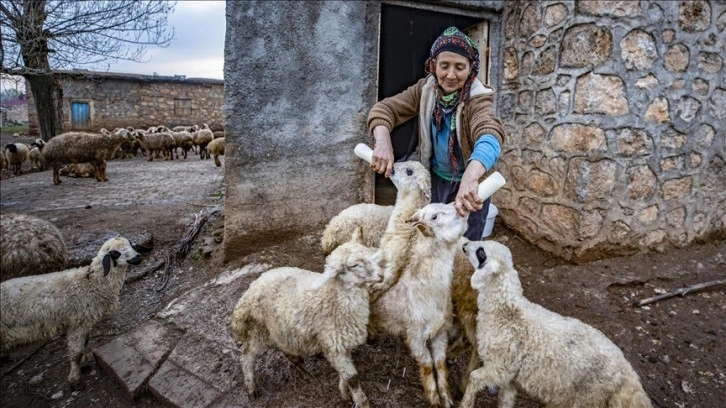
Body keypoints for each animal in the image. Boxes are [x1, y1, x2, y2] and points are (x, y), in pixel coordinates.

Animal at [0, 236, 151, 388]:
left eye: (131, 244)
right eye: (115, 253)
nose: (138, 257)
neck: (91, 283)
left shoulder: (84, 322)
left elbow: (84, 344)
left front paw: (83, 366)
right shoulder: (77, 322)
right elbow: (76, 352)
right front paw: (74, 380)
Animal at [232, 230, 386, 408]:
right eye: (354, 265)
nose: (381, 275)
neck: (334, 296)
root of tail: (250, 290)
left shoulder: (339, 343)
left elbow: (344, 373)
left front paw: (345, 393)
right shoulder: (334, 342)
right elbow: (352, 378)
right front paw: (362, 402)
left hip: (280, 328)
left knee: (282, 347)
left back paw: (301, 366)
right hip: (261, 329)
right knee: (247, 354)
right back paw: (251, 387)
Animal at [372, 202, 470, 408]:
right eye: (434, 217)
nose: (460, 207)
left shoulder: (441, 332)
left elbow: (439, 363)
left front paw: (446, 397)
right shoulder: (415, 336)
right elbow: (427, 365)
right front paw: (434, 398)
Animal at [460, 239, 656, 408]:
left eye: (481, 253)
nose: (464, 245)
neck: (506, 310)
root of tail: (628, 375)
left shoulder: (499, 366)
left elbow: (474, 377)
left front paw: (465, 403)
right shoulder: (510, 375)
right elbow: (505, 400)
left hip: (589, 396)